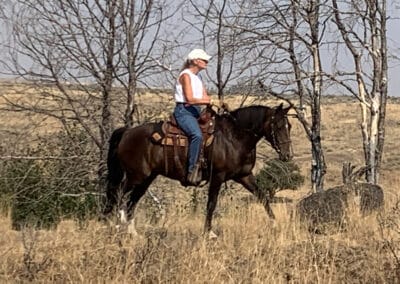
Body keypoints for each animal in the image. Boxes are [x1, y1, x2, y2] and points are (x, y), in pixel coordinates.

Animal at [104, 103, 294, 236]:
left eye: (289, 126)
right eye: (278, 126)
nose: (288, 155)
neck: (234, 138)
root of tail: (127, 131)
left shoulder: (245, 176)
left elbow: (263, 197)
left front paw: (274, 224)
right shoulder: (218, 176)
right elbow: (211, 204)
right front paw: (209, 232)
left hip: (147, 178)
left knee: (132, 200)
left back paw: (132, 232)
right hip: (136, 176)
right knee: (118, 194)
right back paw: (116, 224)